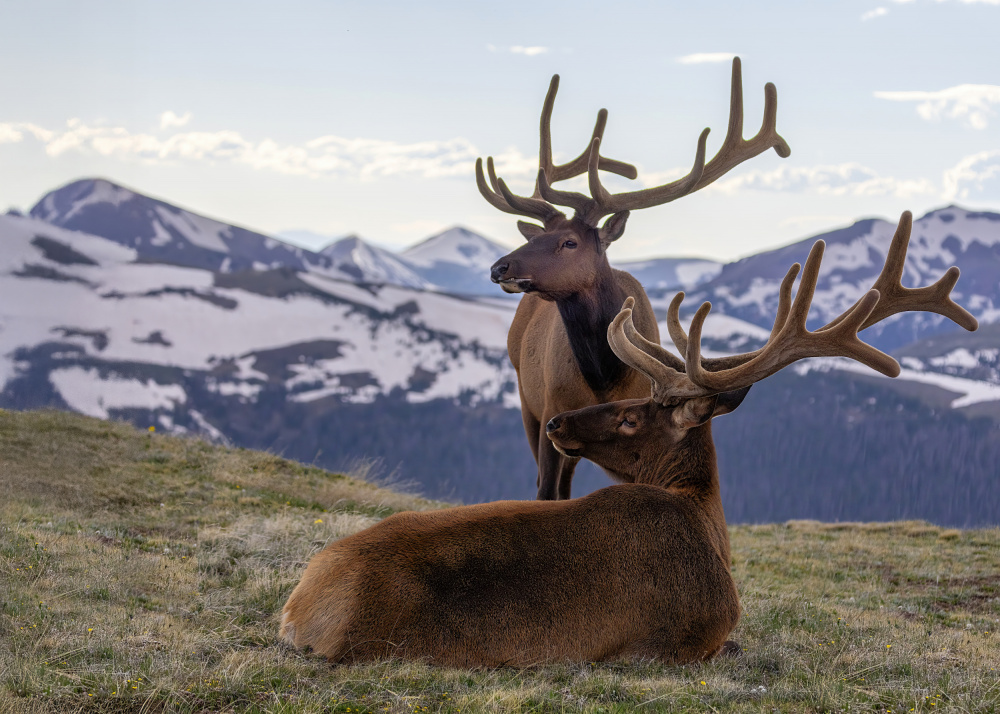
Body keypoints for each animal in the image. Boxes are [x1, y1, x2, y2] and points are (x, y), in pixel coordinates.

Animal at [480, 58, 791, 500]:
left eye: (570, 242)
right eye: (535, 237)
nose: (499, 267)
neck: (603, 376)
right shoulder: (550, 412)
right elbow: (545, 491)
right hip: (527, 401)